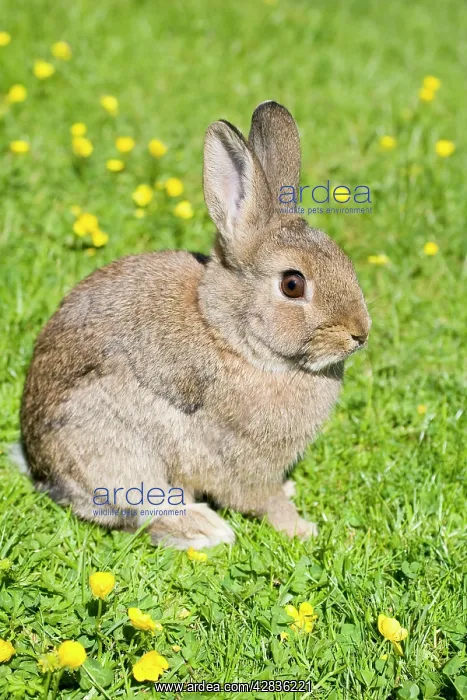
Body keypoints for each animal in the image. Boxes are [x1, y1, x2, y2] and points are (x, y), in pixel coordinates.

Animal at [20, 101, 371, 549]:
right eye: (292, 284)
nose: (359, 333)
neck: (229, 336)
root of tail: (40, 470)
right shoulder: (241, 459)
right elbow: (264, 500)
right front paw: (302, 530)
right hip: (115, 453)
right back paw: (206, 529)